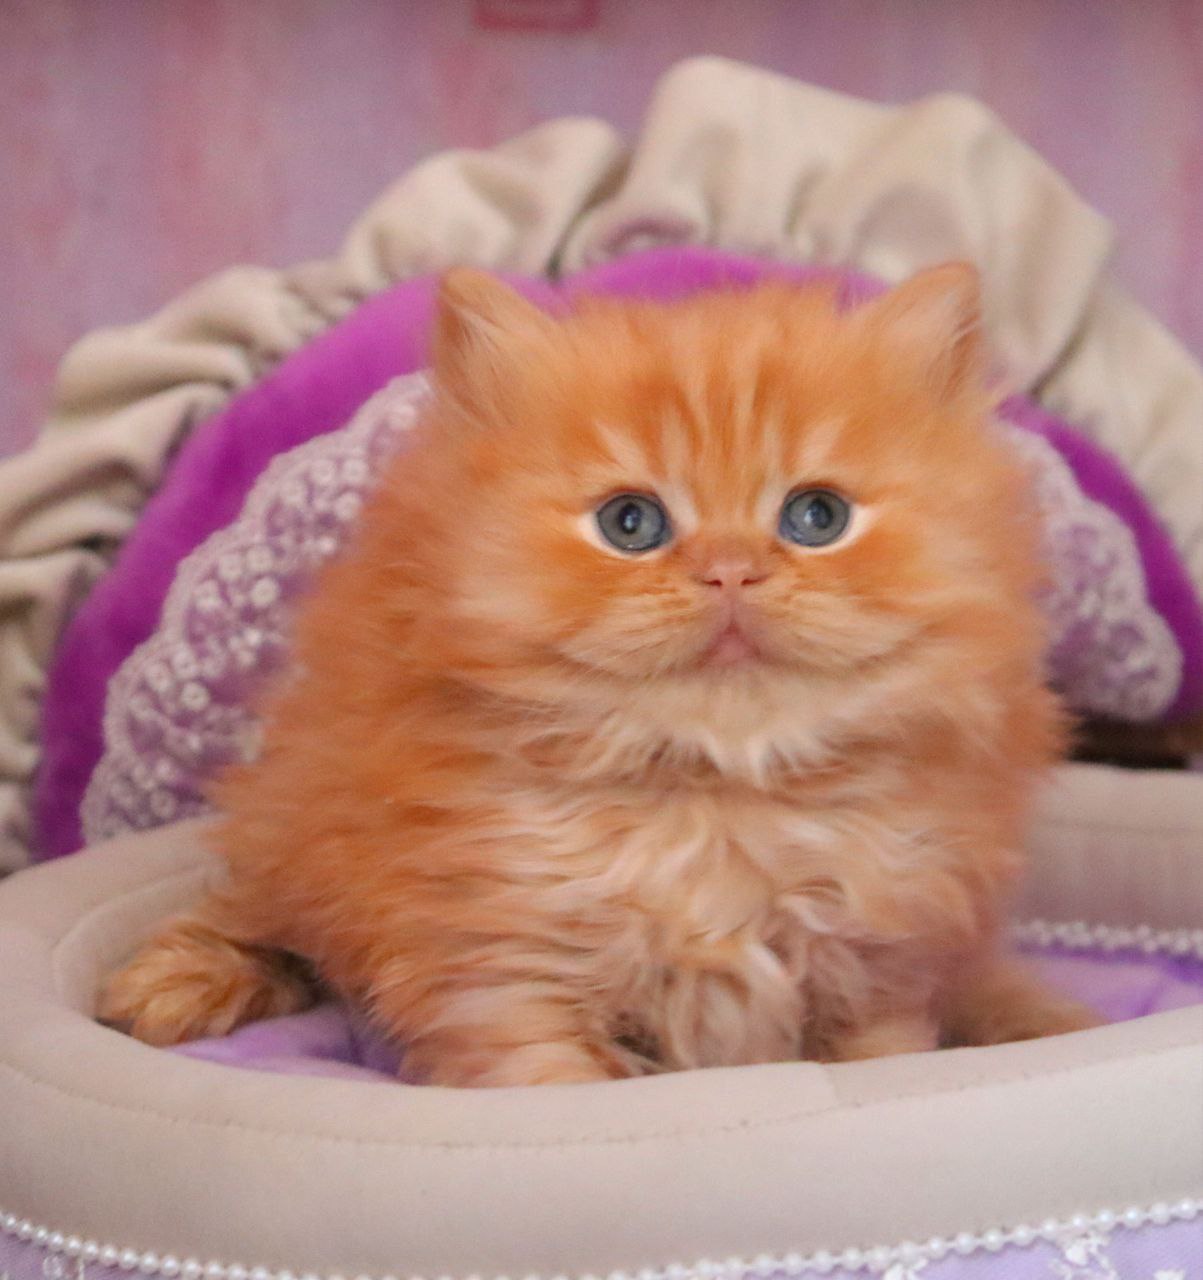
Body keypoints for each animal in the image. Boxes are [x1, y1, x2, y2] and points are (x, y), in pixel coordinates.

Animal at [99, 263, 1099, 1085]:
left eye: (815, 517)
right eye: (631, 524)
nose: (729, 570)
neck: (714, 800)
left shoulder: (883, 969)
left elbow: (885, 1056)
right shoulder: (505, 975)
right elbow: (554, 1087)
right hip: (295, 822)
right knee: (254, 917)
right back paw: (162, 991)